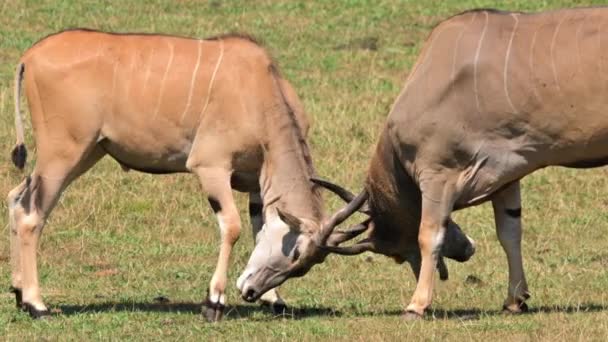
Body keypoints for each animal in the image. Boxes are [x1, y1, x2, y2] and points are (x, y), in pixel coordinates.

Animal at [5, 28, 324, 320]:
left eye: (307, 264)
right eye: (296, 253)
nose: (251, 291)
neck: (261, 88)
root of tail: (29, 57)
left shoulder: (257, 181)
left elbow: (260, 228)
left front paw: (274, 299)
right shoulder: (211, 167)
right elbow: (232, 227)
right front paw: (214, 302)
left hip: (87, 153)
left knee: (16, 198)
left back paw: (19, 292)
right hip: (62, 155)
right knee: (31, 215)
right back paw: (36, 304)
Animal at [239, 7, 608, 318]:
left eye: (297, 257)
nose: (249, 290)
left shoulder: (438, 175)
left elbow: (429, 234)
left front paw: (416, 305)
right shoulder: (506, 174)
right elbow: (510, 233)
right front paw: (515, 300)